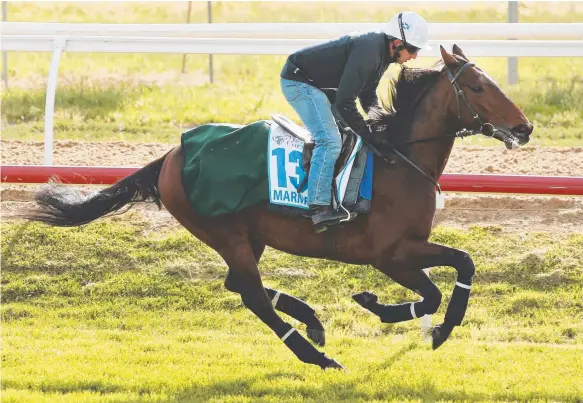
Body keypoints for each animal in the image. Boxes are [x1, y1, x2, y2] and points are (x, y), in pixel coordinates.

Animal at [19, 45, 532, 370]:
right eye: (478, 87)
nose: (524, 128)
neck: (399, 159)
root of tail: (170, 155)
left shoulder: (407, 249)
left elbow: (451, 274)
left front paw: (399, 314)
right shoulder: (389, 254)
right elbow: (443, 283)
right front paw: (419, 322)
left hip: (250, 236)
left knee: (242, 286)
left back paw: (313, 324)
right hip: (226, 234)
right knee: (251, 294)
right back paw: (316, 354)